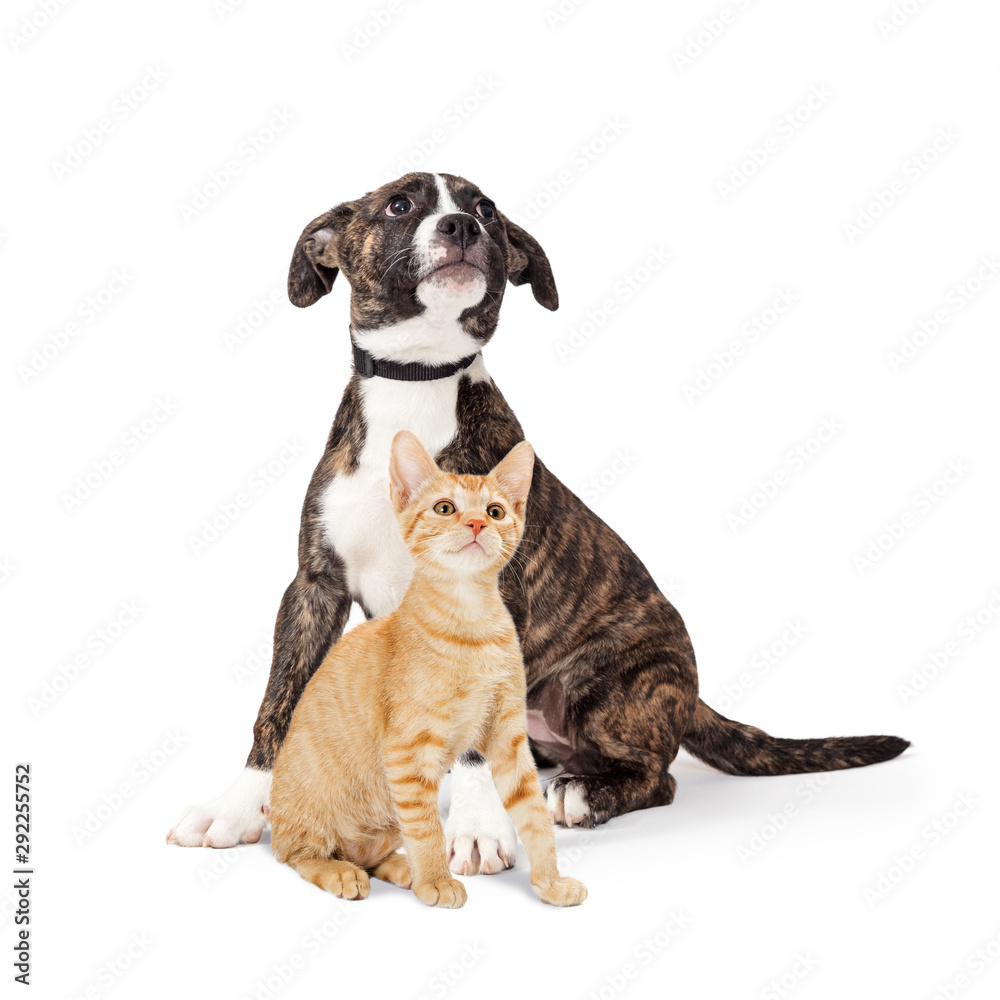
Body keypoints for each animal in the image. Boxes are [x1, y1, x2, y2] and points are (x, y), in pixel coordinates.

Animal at [270, 430, 588, 908]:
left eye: (495, 511)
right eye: (444, 508)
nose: (476, 524)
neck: (472, 623)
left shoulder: (508, 738)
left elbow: (533, 814)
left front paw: (550, 882)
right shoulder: (407, 750)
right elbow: (425, 827)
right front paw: (437, 881)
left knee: (369, 852)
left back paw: (400, 868)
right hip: (310, 820)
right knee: (301, 853)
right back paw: (342, 872)